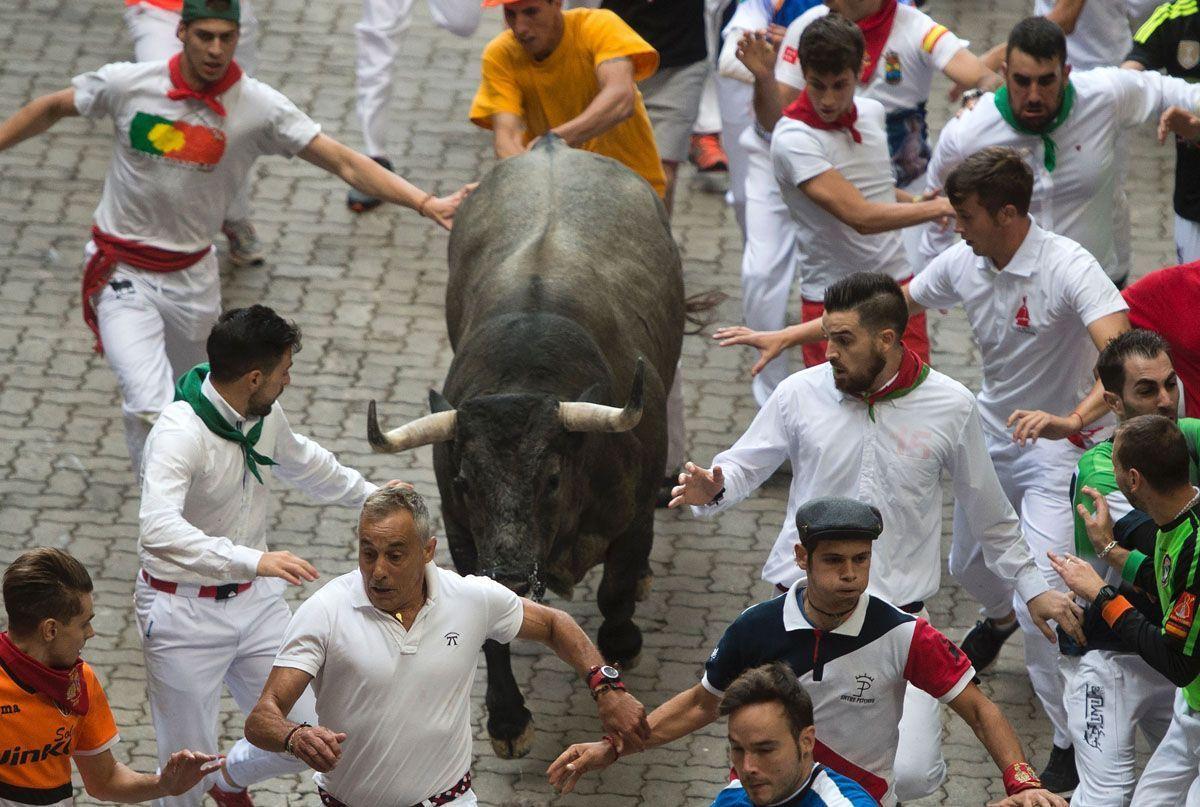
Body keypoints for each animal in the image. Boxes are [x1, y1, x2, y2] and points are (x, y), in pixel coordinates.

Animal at [364, 135, 686, 758]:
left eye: (553, 478)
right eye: (464, 481)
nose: (511, 574)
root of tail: (553, 146)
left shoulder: (635, 515)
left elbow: (615, 591)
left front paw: (622, 640)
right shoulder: (464, 538)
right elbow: (490, 634)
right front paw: (509, 720)